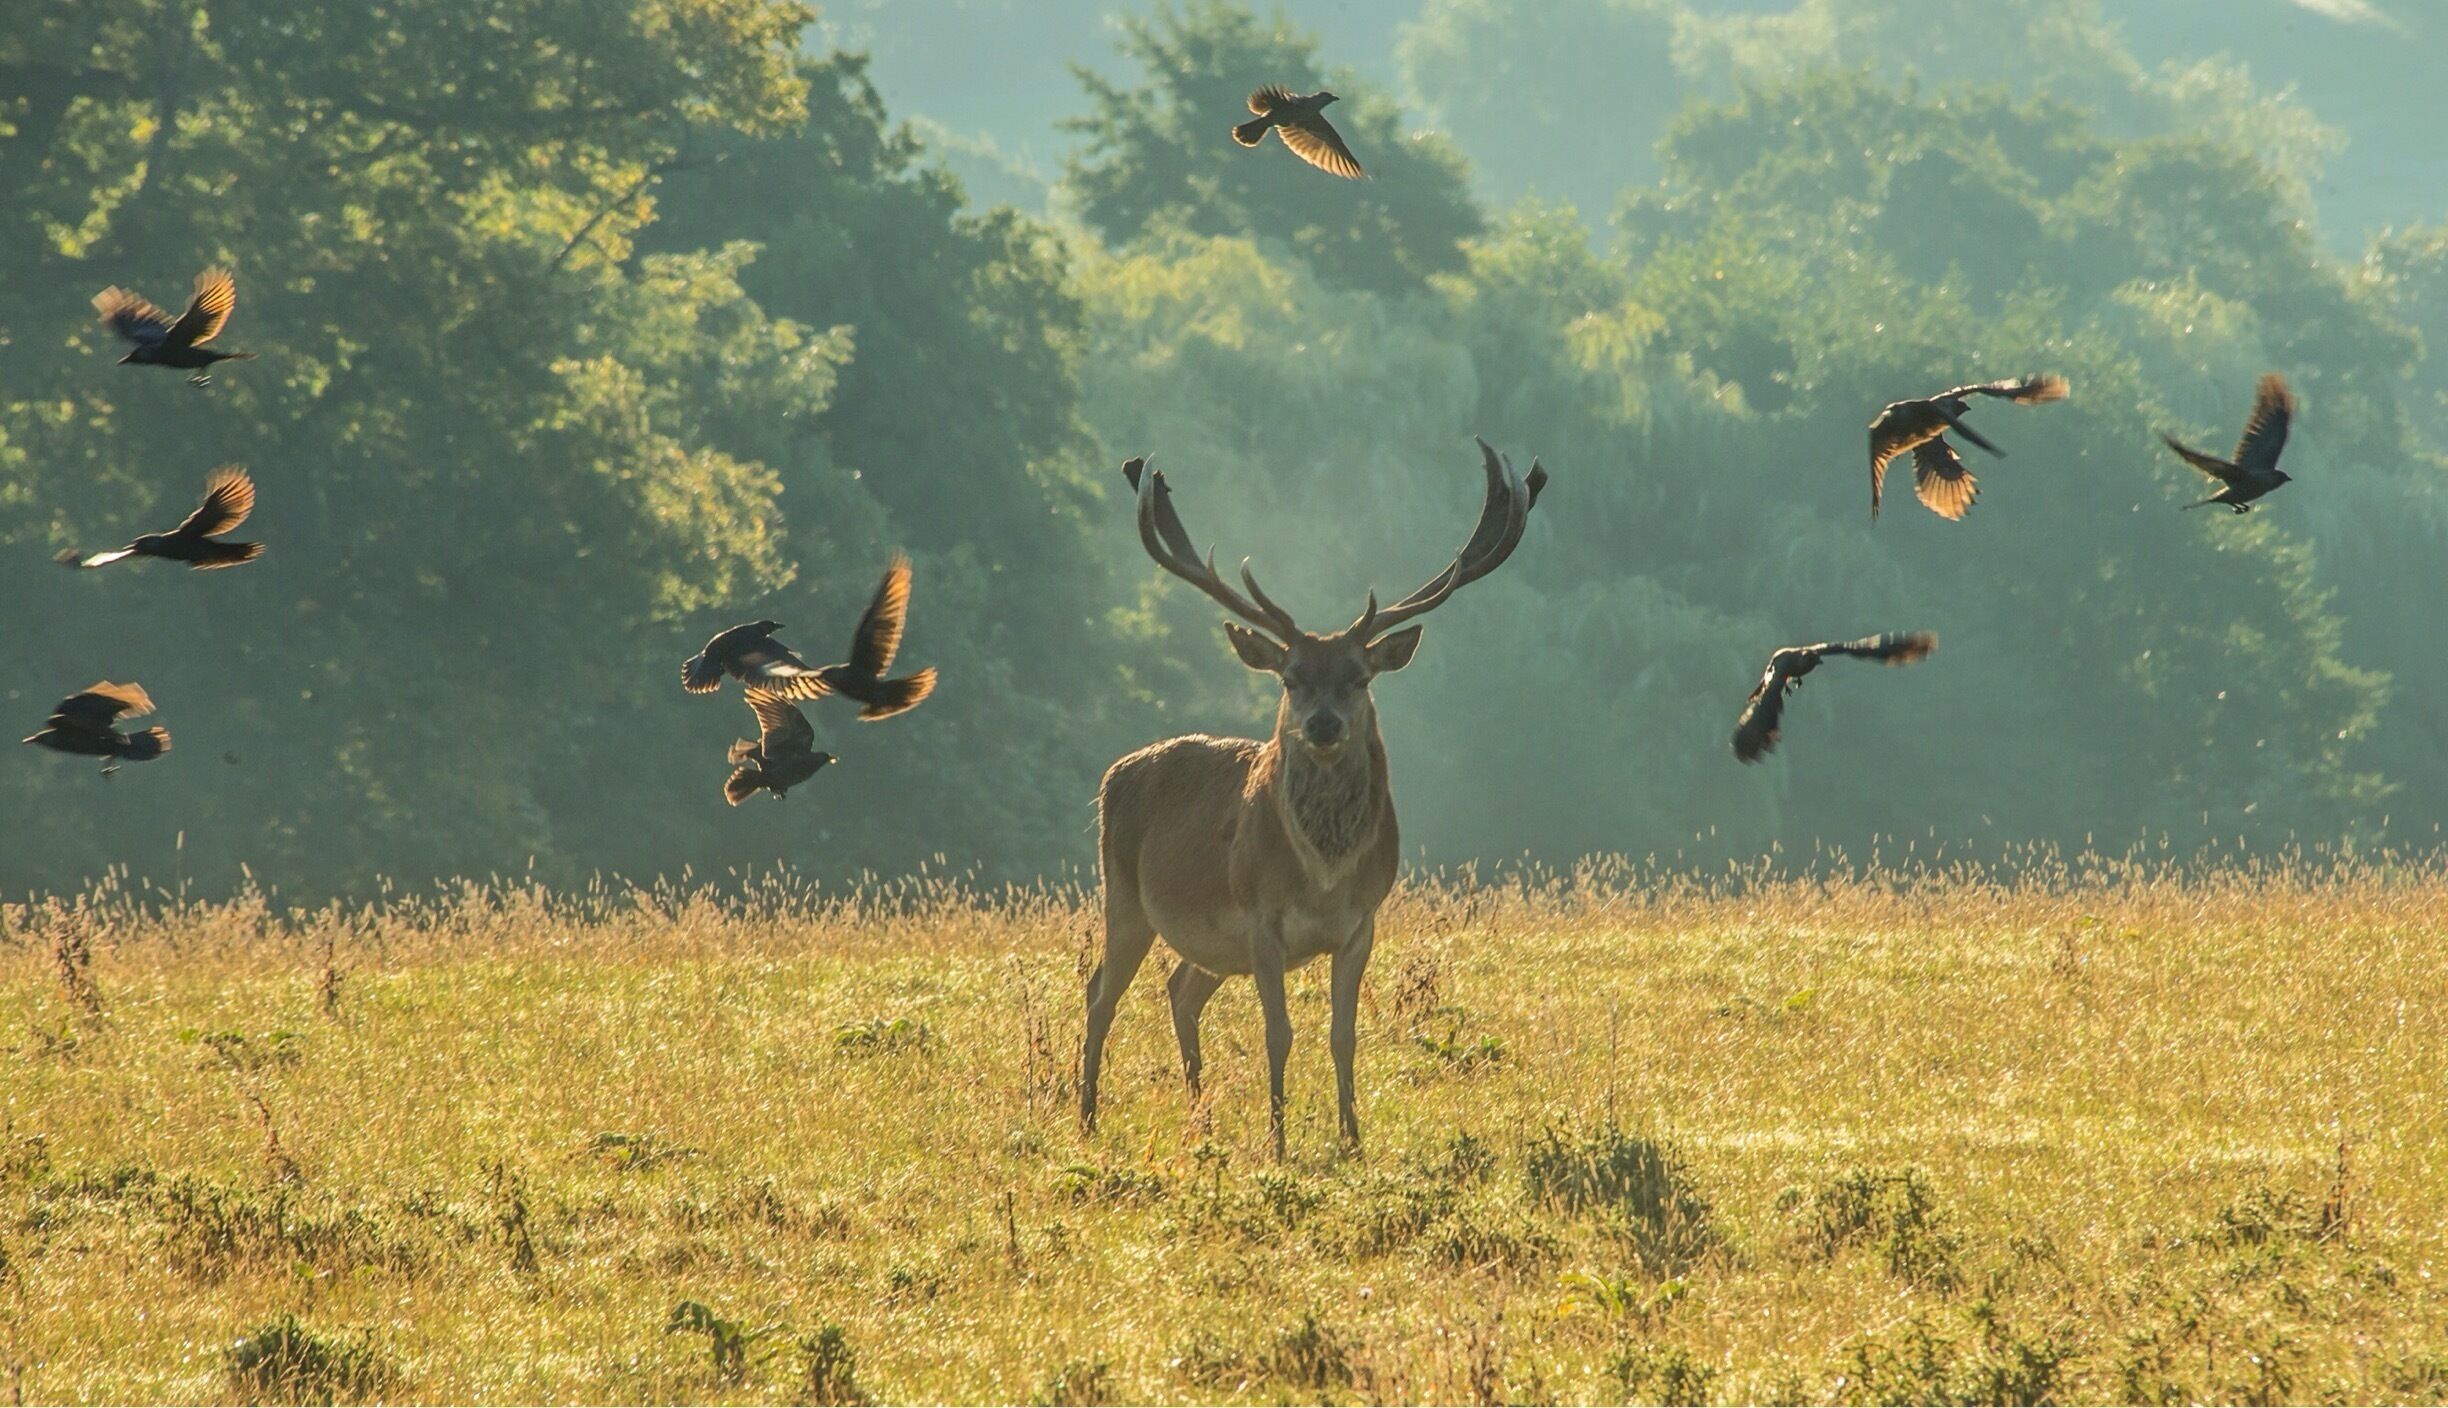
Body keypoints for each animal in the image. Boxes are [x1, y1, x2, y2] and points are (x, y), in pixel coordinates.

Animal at [1081, 440, 1548, 1158]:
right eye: (1292, 678)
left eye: (1358, 677)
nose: (1323, 724)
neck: (1323, 879)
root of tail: (1113, 774)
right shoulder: (1260, 916)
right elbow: (1280, 1035)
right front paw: (1277, 1144)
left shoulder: (1363, 923)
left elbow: (1342, 1036)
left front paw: (1352, 1141)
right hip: (1124, 892)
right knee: (1100, 991)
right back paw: (1086, 1116)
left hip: (1208, 942)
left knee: (1180, 988)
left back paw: (1201, 1119)